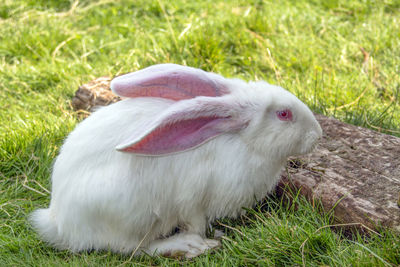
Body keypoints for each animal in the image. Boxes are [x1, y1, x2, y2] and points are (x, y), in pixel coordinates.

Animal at [32, 63, 322, 258]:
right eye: (284, 114)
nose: (317, 135)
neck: (239, 140)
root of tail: (58, 222)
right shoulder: (194, 199)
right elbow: (196, 222)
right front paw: (206, 239)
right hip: (133, 215)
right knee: (133, 248)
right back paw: (184, 245)